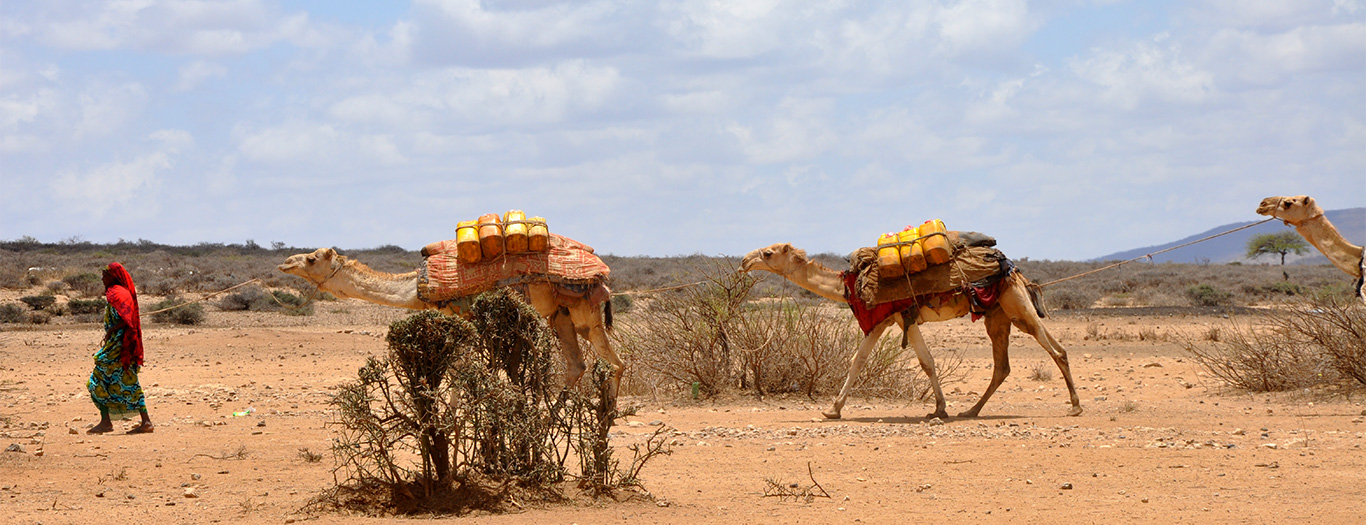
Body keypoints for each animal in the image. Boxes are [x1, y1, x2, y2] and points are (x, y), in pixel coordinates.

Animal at [282, 248, 625, 396]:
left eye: (311, 258)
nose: (286, 262)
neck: (416, 287)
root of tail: (602, 276)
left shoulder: (463, 320)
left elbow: (460, 374)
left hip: (583, 309)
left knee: (612, 362)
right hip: (561, 314)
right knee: (579, 365)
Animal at [743, 243, 1081, 421]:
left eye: (769, 253)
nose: (745, 260)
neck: (851, 285)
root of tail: (1015, 271)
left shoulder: (891, 317)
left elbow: (911, 362)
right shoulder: (894, 319)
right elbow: (868, 361)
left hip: (1016, 305)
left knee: (1055, 349)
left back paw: (1076, 406)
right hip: (998, 315)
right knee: (1005, 365)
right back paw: (971, 410)